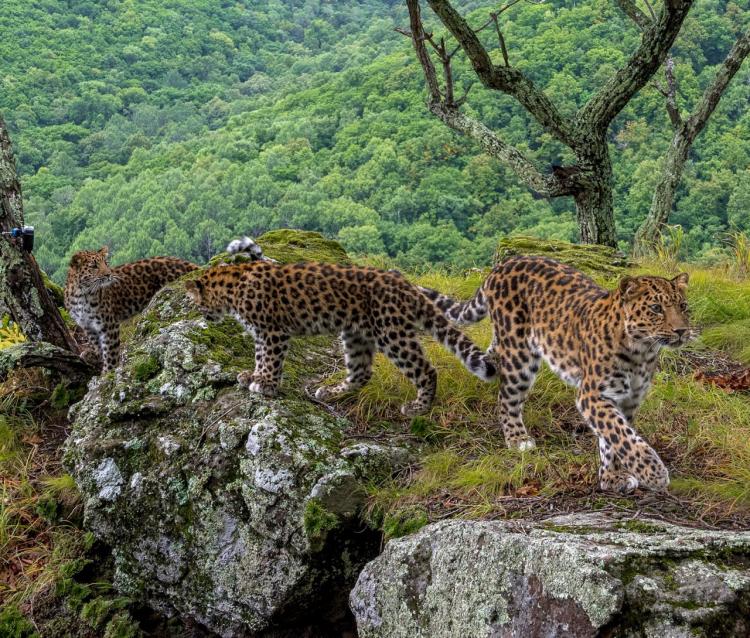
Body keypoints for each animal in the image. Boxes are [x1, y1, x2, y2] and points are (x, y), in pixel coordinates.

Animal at [65, 248, 198, 372]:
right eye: (93, 266)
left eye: (106, 264)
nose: (108, 275)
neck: (81, 294)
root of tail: (186, 263)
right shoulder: (87, 325)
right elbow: (96, 345)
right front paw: (95, 356)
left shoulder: (108, 326)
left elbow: (110, 353)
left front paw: (108, 372)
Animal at [184, 239, 496, 416]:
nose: (204, 317)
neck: (230, 290)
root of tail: (405, 284)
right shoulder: (262, 333)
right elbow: (261, 357)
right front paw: (254, 375)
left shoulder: (272, 331)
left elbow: (270, 359)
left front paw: (266, 385)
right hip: (356, 333)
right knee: (361, 373)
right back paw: (332, 392)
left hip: (391, 331)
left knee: (425, 370)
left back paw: (418, 408)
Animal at [426, 256, 696, 496]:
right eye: (656, 309)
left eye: (683, 306)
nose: (682, 331)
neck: (642, 351)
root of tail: (506, 263)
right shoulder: (593, 394)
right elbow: (621, 435)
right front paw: (654, 472)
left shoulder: (628, 400)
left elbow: (613, 439)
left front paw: (611, 479)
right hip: (520, 354)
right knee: (507, 397)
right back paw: (517, 439)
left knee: (493, 357)